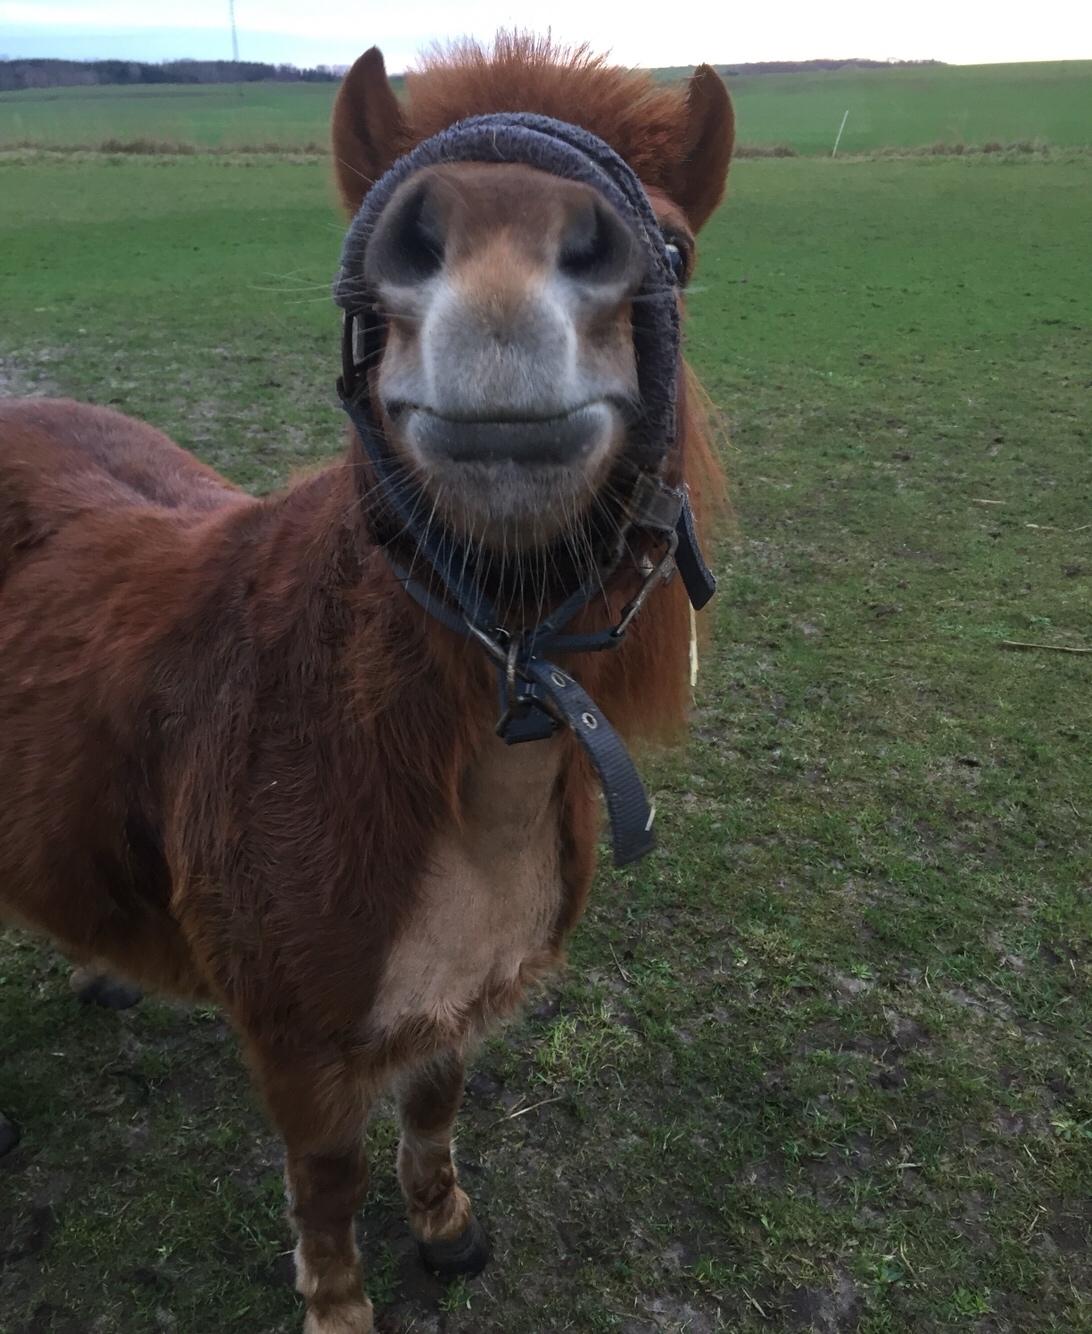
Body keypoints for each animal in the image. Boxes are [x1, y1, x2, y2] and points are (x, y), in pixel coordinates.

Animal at [2, 36, 736, 1328]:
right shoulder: (297, 1042)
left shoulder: (460, 997)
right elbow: (328, 1179)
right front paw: (338, 1301)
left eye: (681, 249)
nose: (498, 265)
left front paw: (445, 1227)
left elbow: (435, 1109)